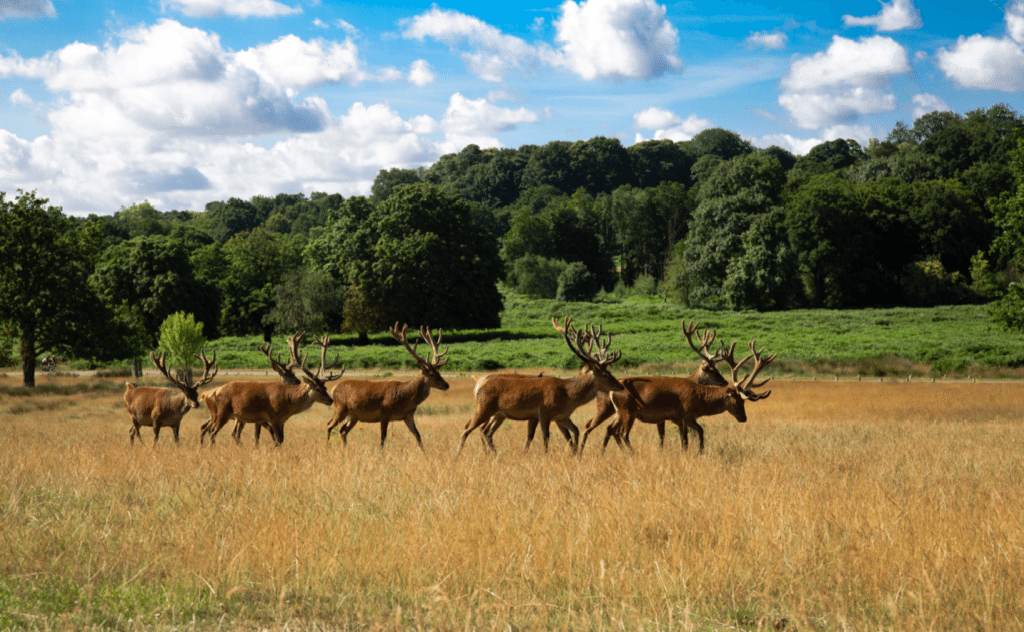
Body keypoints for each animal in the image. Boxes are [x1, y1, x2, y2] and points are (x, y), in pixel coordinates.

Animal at [199, 331, 344, 446]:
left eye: (324, 387)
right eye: (317, 388)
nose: (330, 400)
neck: (288, 401)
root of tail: (209, 394)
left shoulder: (281, 420)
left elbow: (280, 439)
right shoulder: (273, 417)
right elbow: (277, 440)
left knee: (216, 431)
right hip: (222, 412)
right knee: (212, 431)